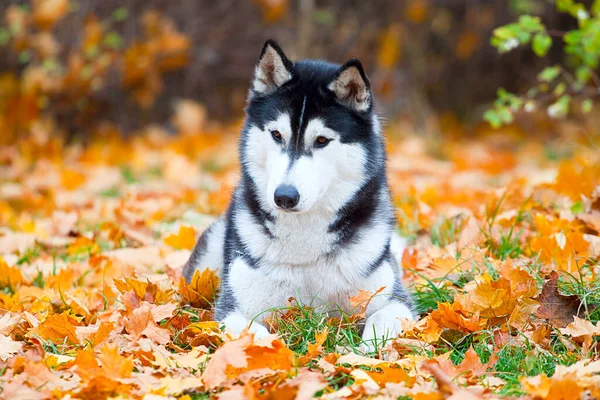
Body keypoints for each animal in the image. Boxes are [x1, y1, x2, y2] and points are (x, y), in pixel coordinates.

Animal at [183, 39, 414, 348]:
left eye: (322, 140)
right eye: (276, 135)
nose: (284, 196)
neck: (305, 241)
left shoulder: (395, 299)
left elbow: (383, 318)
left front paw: (366, 351)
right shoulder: (233, 309)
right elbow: (254, 335)